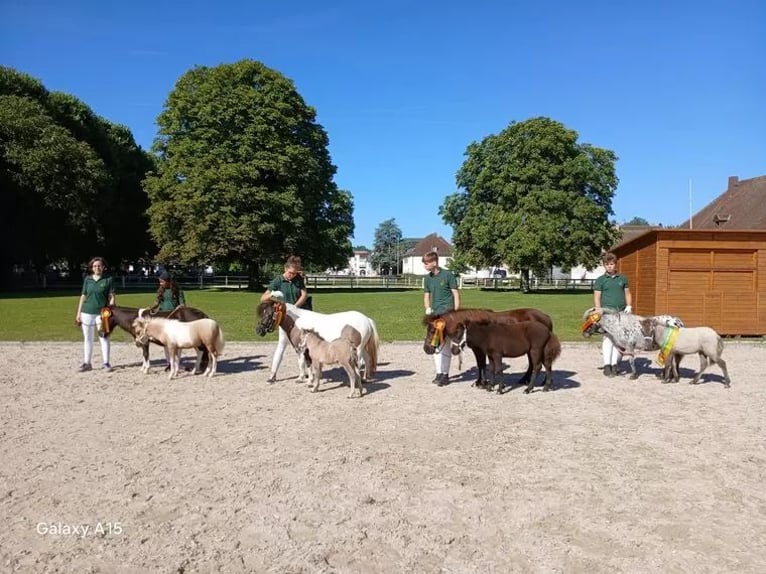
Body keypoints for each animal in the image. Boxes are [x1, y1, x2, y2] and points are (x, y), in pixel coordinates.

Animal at [424, 310, 560, 396]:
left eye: (432, 331)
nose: (427, 349)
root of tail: (546, 317)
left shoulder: (484, 351)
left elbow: (485, 365)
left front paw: (486, 384)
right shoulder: (485, 352)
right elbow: (487, 367)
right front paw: (486, 384)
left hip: (535, 350)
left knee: (537, 365)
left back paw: (531, 387)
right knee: (544, 364)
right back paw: (543, 384)